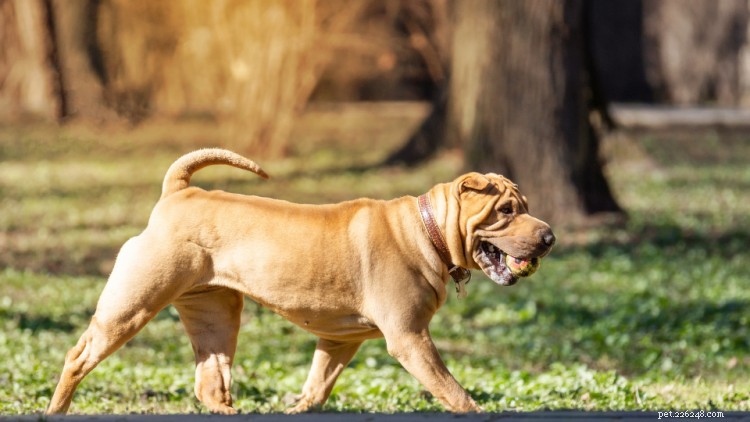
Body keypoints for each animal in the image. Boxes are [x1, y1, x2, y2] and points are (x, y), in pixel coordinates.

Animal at [45, 149, 552, 416]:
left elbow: (316, 387)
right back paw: (57, 409)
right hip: (130, 307)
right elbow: (454, 391)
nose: (549, 236)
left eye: (525, 206)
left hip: (216, 316)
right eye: (507, 210)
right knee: (77, 357)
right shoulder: (410, 340)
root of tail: (178, 192)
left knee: (209, 384)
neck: (428, 230)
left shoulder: (339, 340)